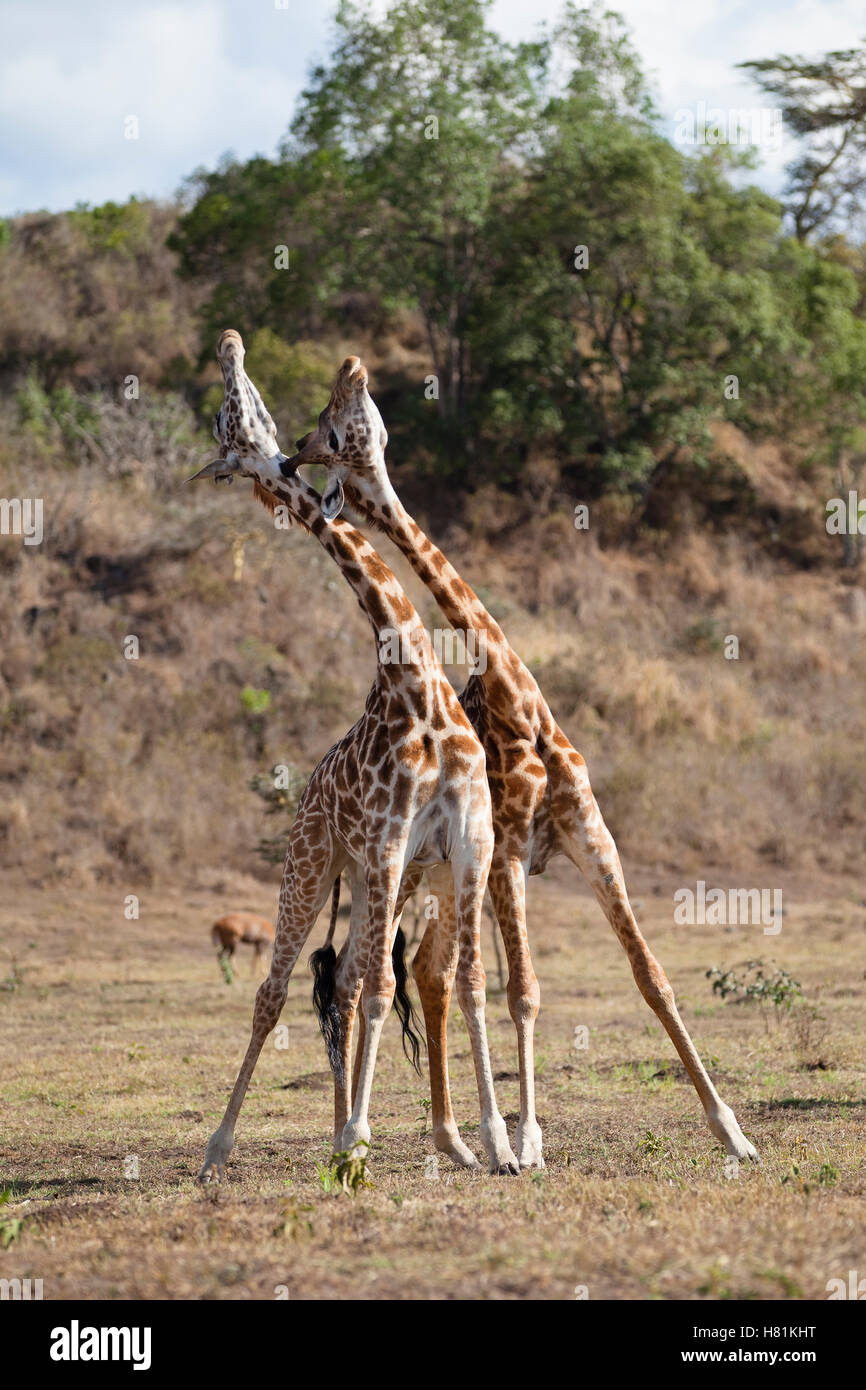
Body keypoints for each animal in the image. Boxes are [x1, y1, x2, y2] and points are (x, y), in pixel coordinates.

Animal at [193, 330, 517, 1178]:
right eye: (233, 420)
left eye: (324, 422)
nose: (230, 341)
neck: (418, 688)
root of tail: (308, 791)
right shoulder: (391, 840)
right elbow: (378, 991)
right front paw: (361, 1141)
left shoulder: (466, 841)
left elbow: (471, 984)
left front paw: (501, 1144)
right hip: (315, 864)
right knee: (281, 991)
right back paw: (227, 1147)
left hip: (374, 881)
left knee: (340, 983)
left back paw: (348, 1136)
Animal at [284, 361, 756, 1173]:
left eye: (335, 423)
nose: (289, 455)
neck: (517, 697)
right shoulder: (507, 850)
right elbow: (525, 991)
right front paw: (530, 1137)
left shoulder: (591, 835)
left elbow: (653, 976)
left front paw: (732, 1130)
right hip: (409, 873)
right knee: (369, 973)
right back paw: (368, 1136)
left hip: (438, 879)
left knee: (417, 973)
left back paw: (434, 1138)